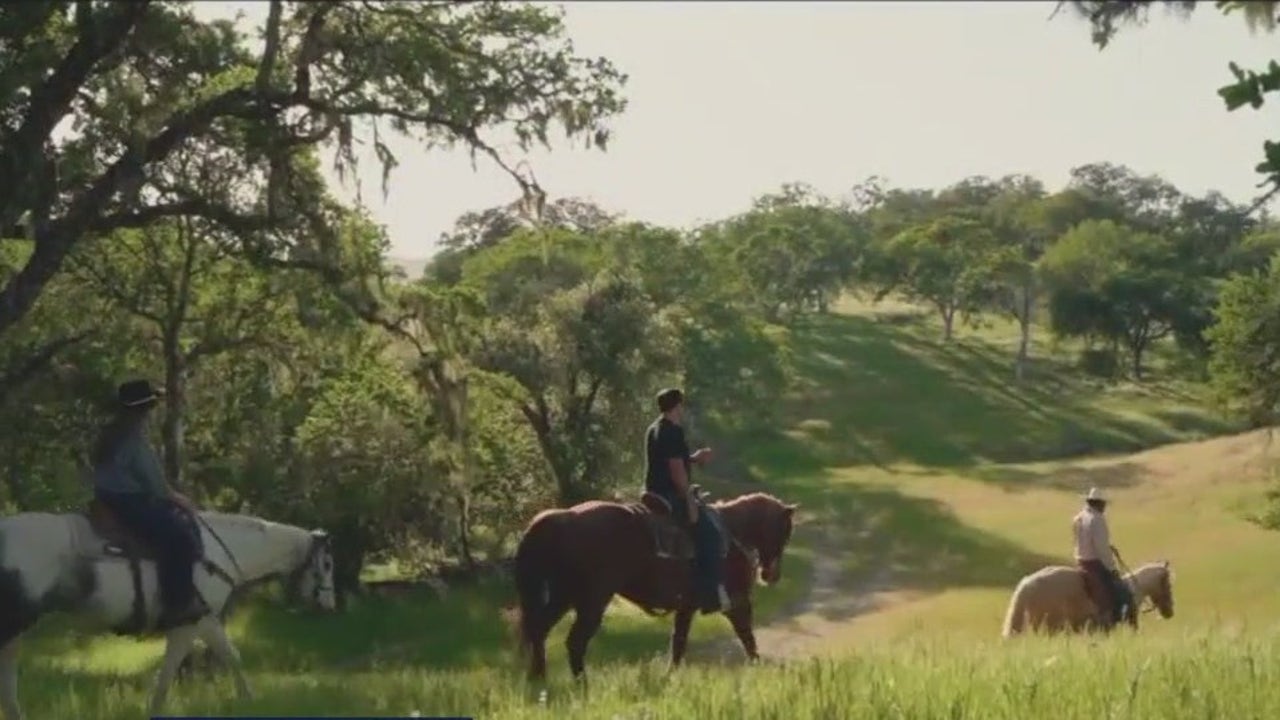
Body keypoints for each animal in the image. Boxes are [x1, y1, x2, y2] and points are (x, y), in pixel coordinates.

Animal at [0, 499, 337, 717]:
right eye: (327, 564)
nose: (329, 605)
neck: (216, 553)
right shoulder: (195, 622)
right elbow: (190, 669)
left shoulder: (196, 623)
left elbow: (203, 665)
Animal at [506, 486, 788, 676]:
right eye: (784, 533)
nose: (771, 575)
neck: (733, 532)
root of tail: (565, 518)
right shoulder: (737, 603)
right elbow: (747, 637)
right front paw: (759, 669)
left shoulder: (686, 608)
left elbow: (678, 644)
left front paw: (670, 677)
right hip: (592, 601)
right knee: (574, 642)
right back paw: (581, 686)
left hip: (564, 597)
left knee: (539, 631)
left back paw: (539, 681)